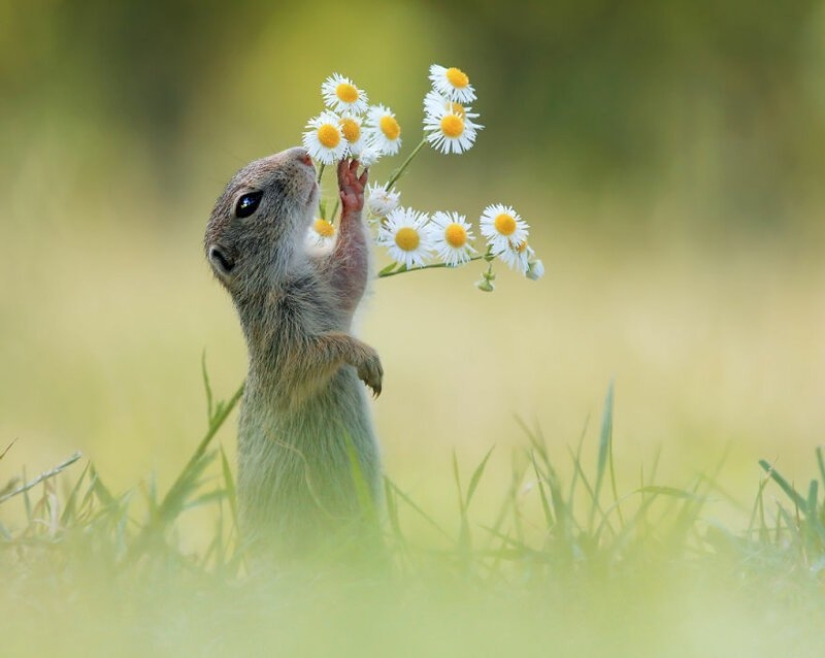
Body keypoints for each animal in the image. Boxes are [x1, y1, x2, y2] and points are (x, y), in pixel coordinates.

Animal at [206, 149, 386, 560]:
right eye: (247, 203)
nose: (303, 154)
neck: (287, 274)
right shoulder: (282, 340)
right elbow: (314, 357)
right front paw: (363, 356)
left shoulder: (332, 281)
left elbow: (354, 267)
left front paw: (351, 188)